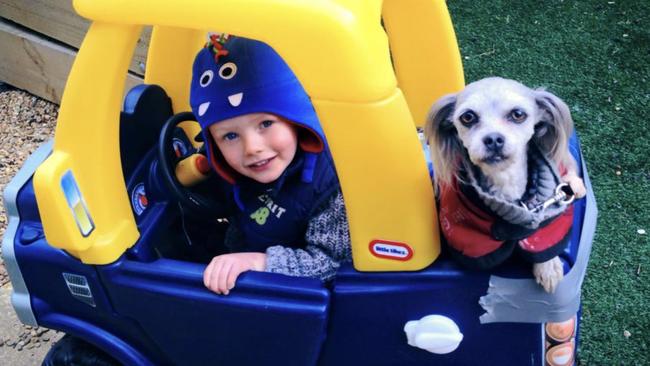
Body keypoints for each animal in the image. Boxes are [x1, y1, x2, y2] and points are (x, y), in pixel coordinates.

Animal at [422, 76, 584, 292]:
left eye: (518, 114)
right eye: (467, 117)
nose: (493, 139)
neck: (506, 181)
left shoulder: (550, 220)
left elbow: (545, 238)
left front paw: (548, 268)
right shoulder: (465, 230)